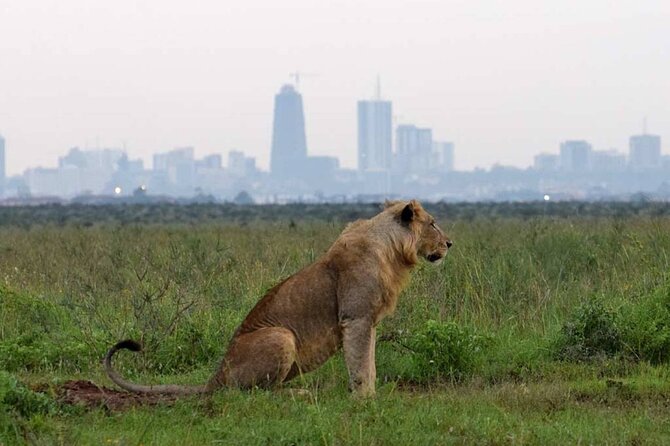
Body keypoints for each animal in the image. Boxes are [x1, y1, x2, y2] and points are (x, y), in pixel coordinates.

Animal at [103, 199, 452, 398]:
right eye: (433, 223)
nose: (450, 243)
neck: (392, 250)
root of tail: (218, 374)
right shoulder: (356, 318)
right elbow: (361, 364)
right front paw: (364, 400)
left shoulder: (369, 322)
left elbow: (371, 363)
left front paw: (371, 395)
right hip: (281, 335)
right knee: (258, 393)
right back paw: (298, 392)